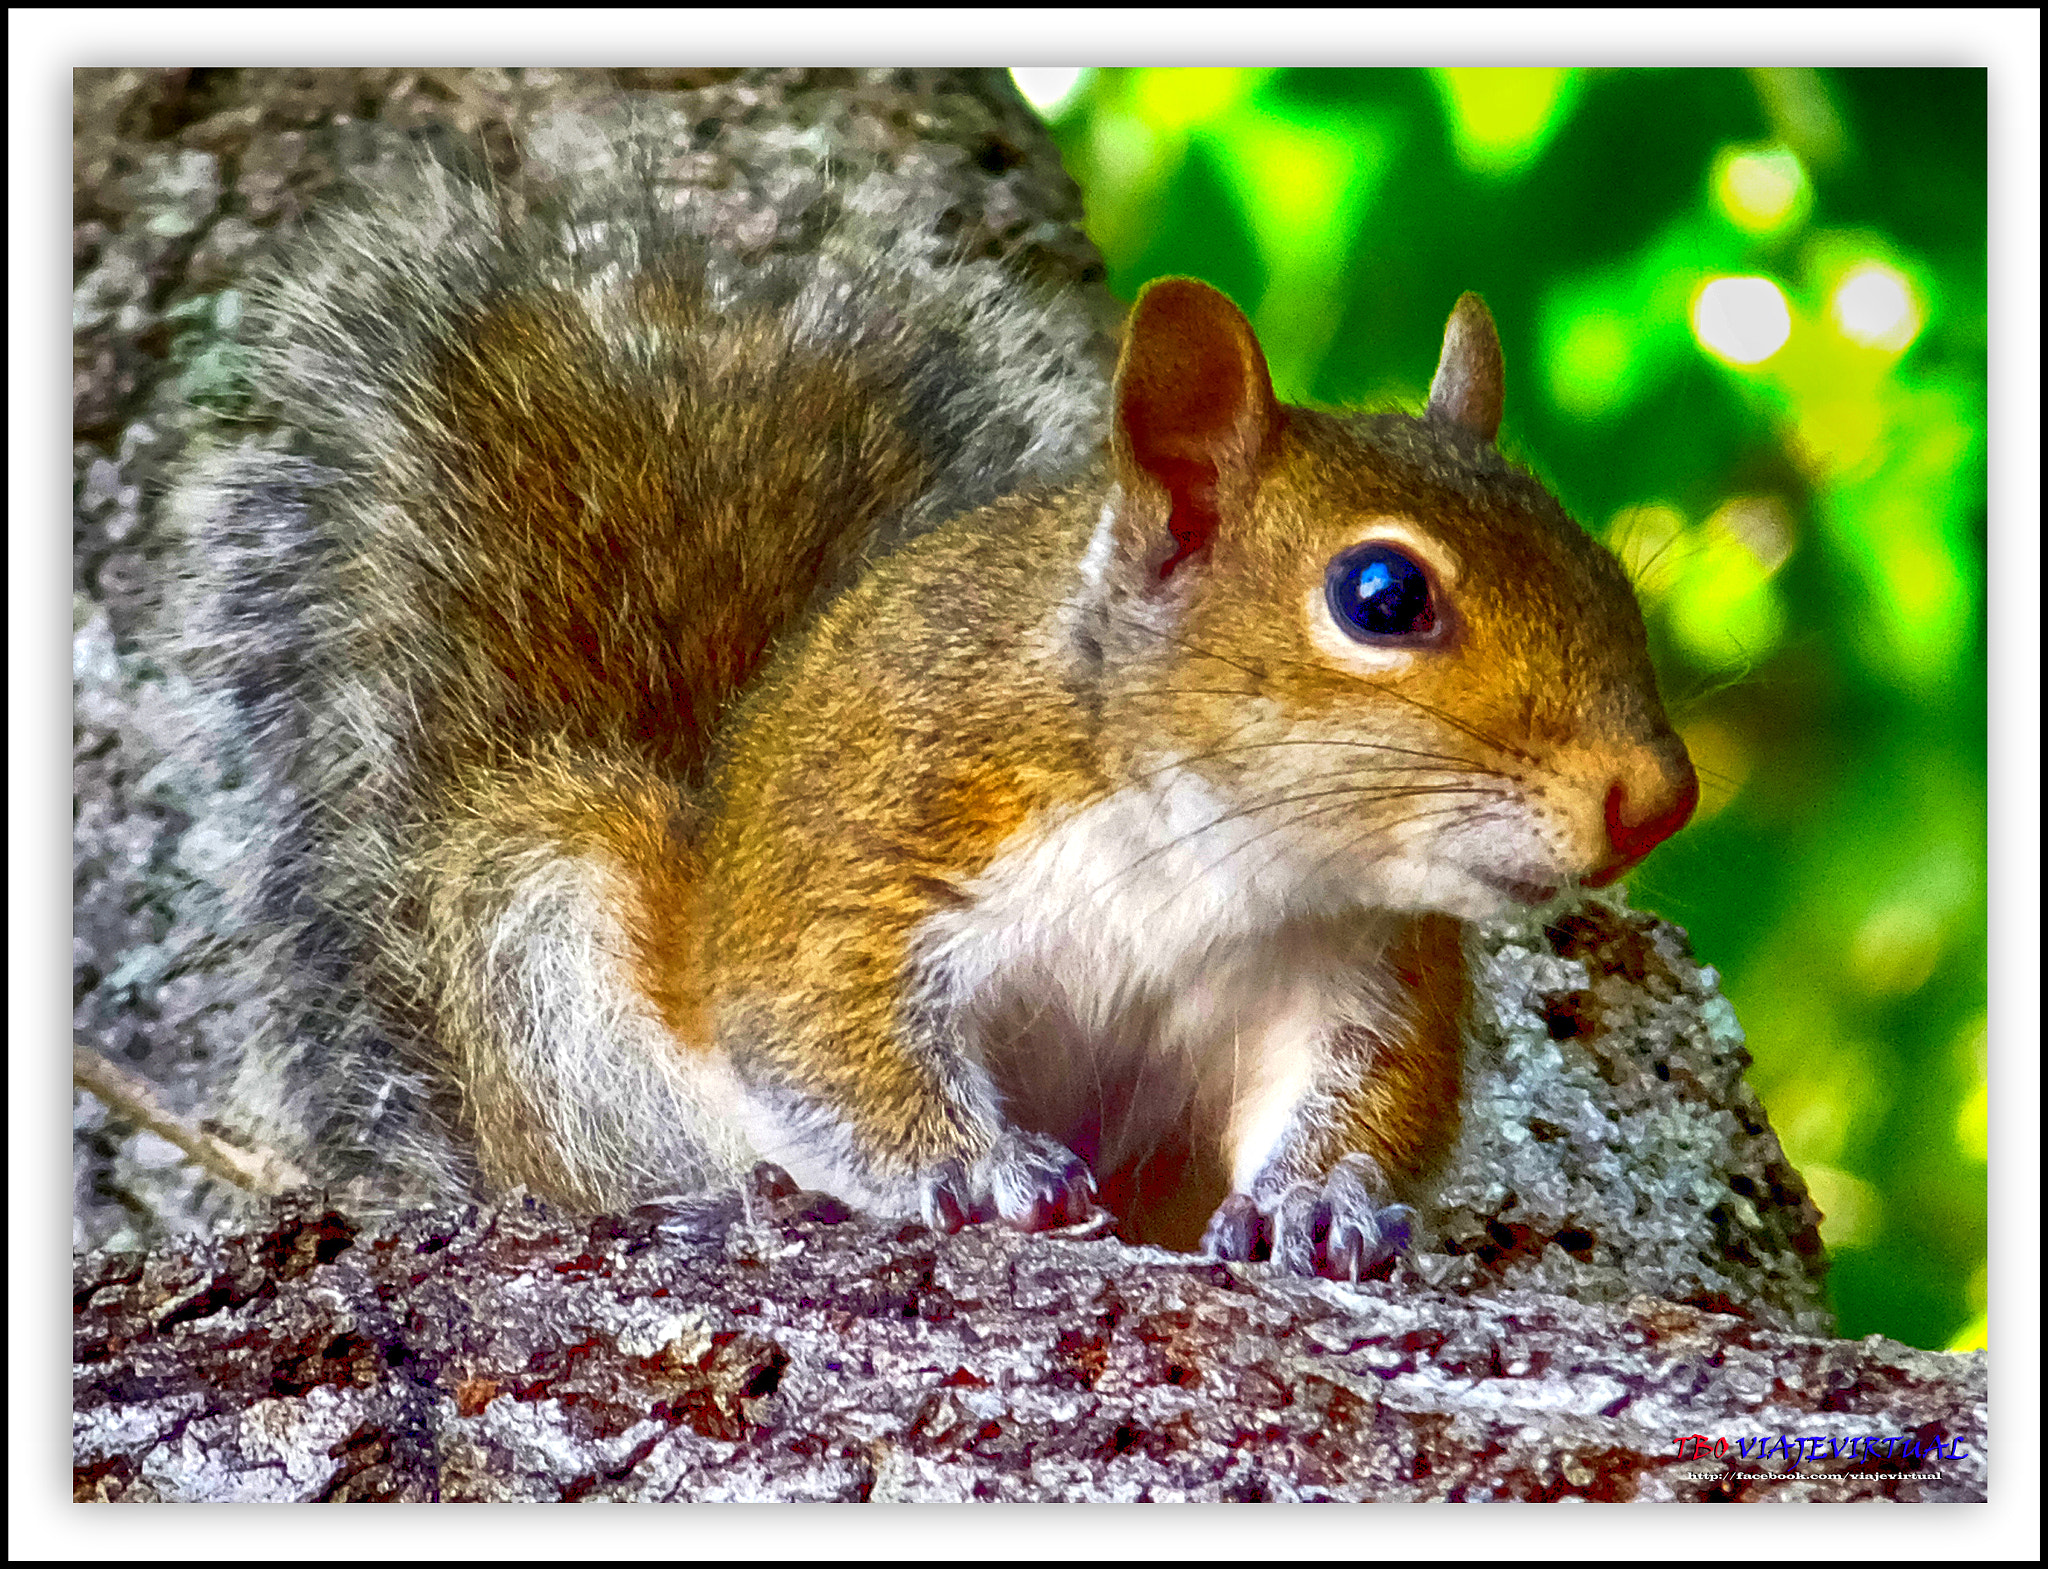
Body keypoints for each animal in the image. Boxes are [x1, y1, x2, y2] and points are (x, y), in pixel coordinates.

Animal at [167, 119, 1695, 1278]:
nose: (1658, 796)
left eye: (1600, 564)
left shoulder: (1360, 961)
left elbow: (1373, 1089)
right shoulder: (887, 832)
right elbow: (822, 1037)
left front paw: (1322, 1201)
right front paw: (981, 1171)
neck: (1207, 843)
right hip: (544, 936)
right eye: (1380, 595)